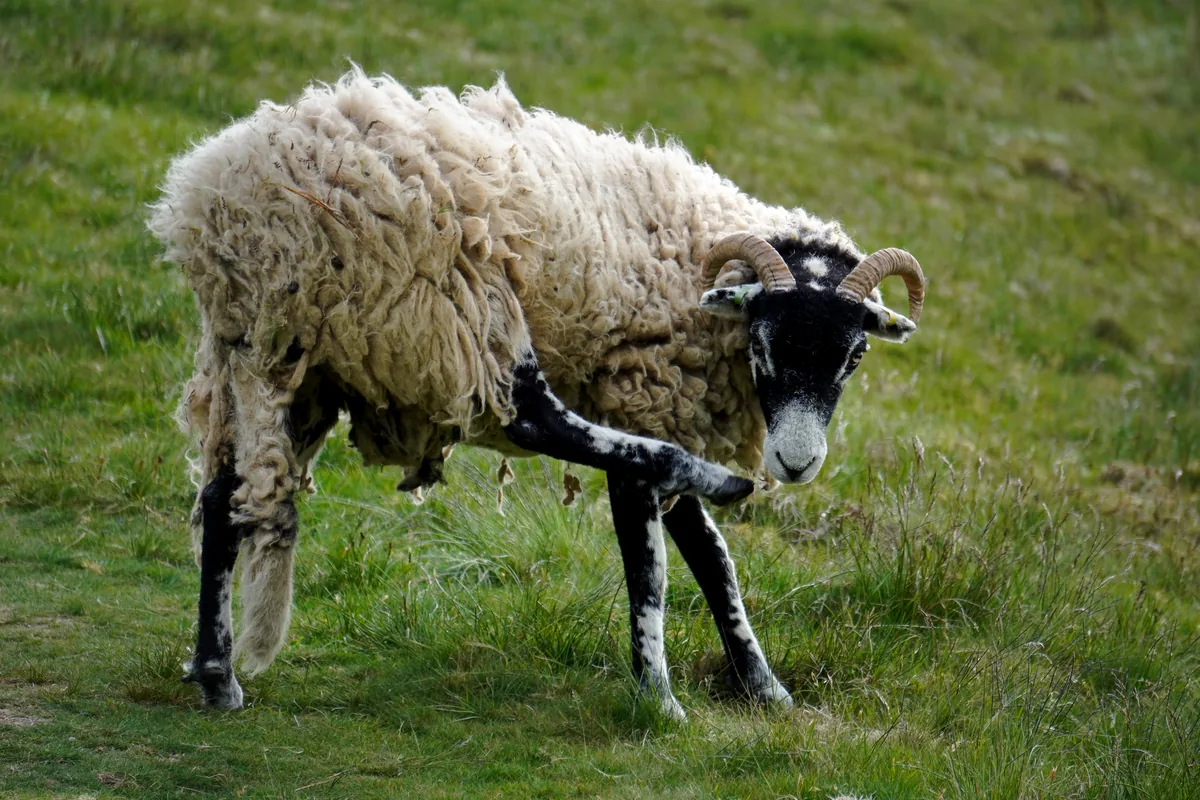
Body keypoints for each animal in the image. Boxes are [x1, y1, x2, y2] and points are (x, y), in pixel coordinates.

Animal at [149, 68, 926, 717]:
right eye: (763, 345)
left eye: (854, 356)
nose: (796, 463)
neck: (697, 264)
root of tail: (221, 210)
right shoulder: (640, 394)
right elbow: (652, 564)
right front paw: (658, 696)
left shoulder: (665, 405)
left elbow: (713, 560)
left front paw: (764, 686)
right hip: (446, 304)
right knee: (535, 418)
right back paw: (705, 475)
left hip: (294, 357)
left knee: (223, 495)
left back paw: (216, 673)